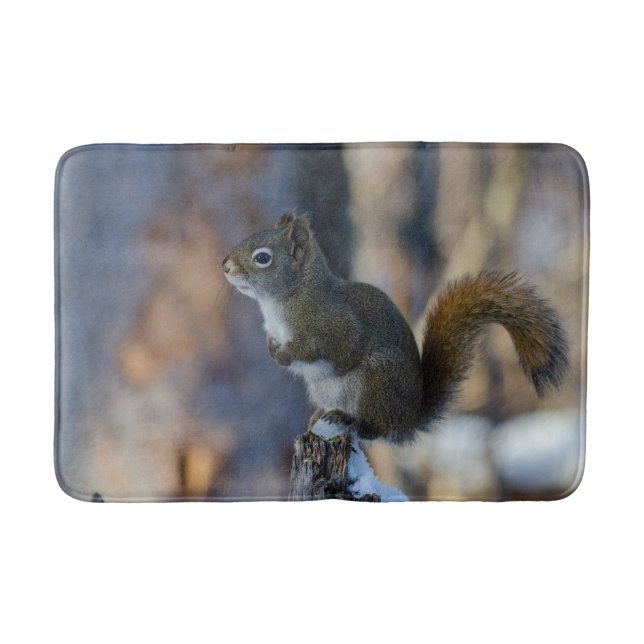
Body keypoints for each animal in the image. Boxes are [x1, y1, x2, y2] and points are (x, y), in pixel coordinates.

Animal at [222, 212, 569, 443]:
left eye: (262, 258)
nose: (225, 266)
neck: (284, 299)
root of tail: (408, 419)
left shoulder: (335, 325)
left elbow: (329, 347)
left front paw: (284, 355)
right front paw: (272, 349)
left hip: (376, 381)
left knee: (378, 430)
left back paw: (350, 420)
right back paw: (322, 415)